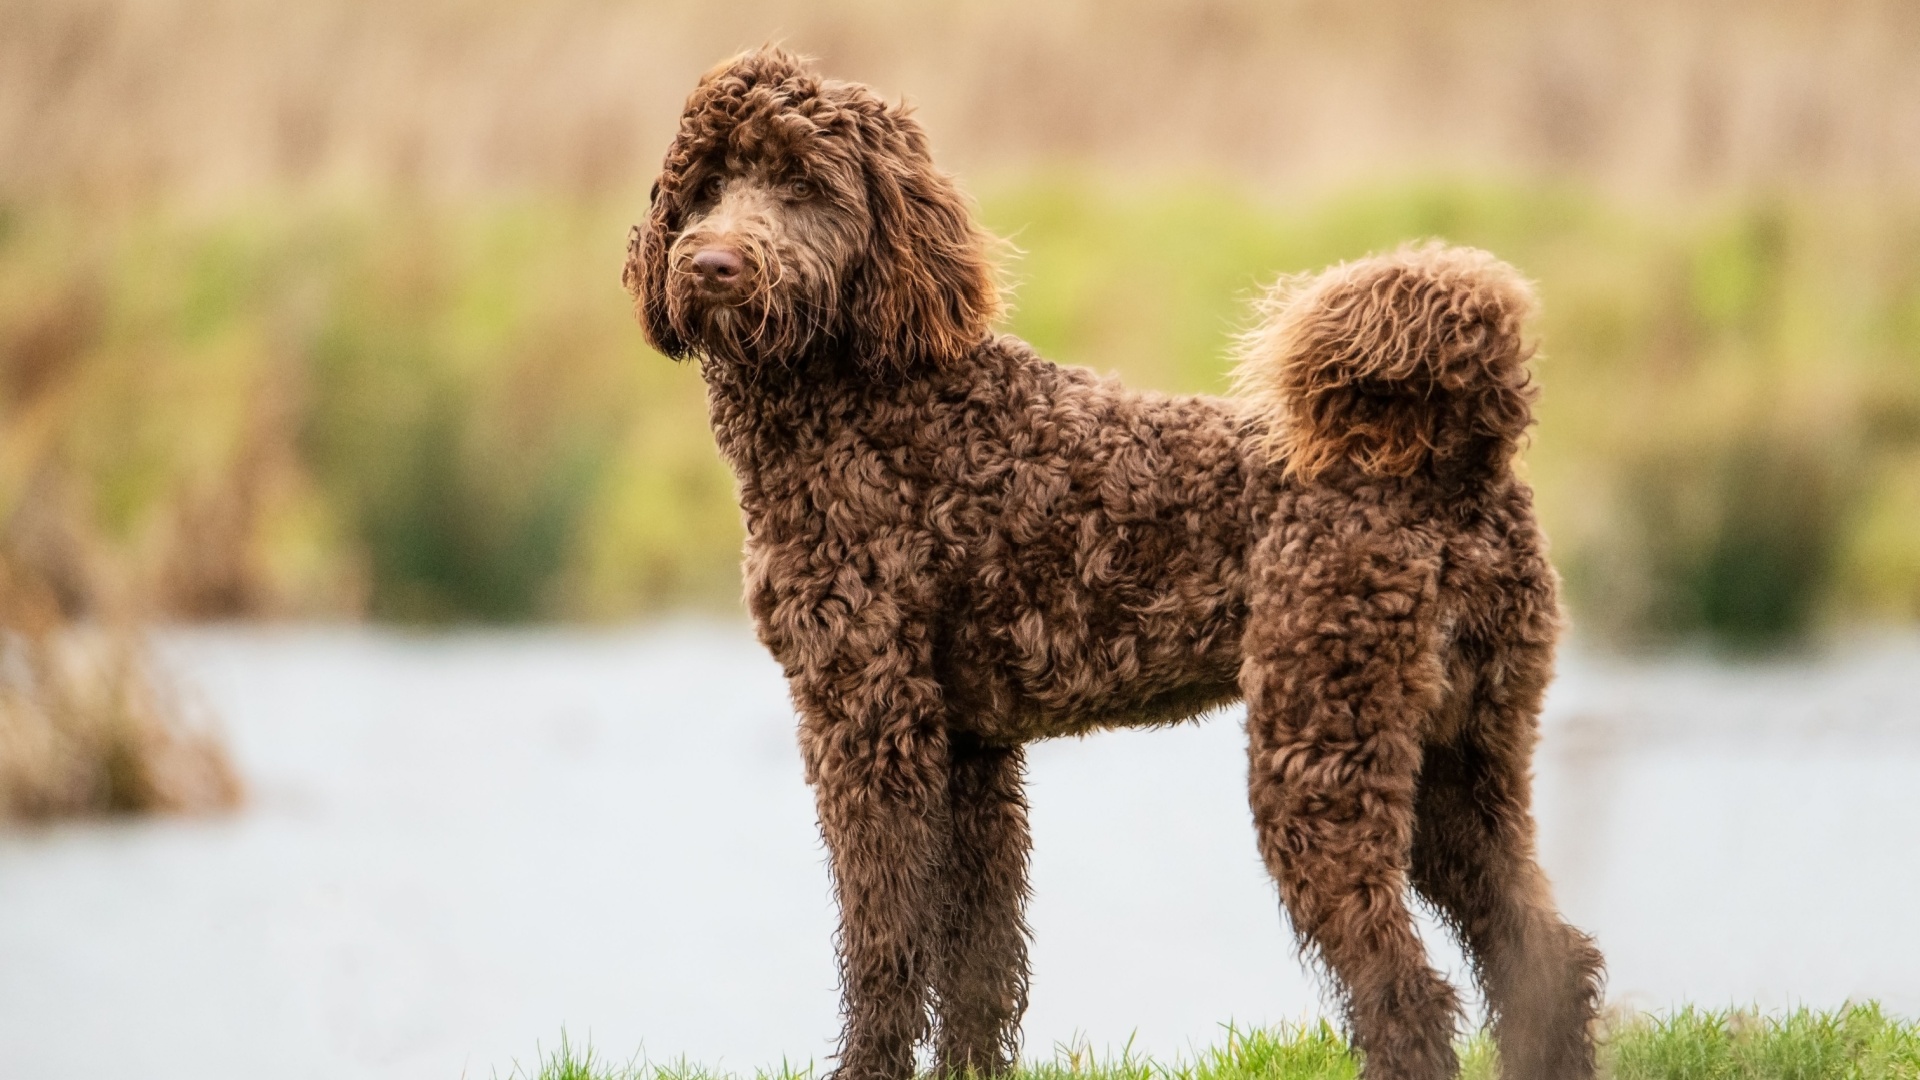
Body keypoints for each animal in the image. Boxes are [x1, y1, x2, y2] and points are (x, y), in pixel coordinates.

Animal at [625, 46, 1605, 1076]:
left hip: (1324, 753)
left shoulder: (869, 720)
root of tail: (1459, 459)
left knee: (1409, 991)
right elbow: (978, 959)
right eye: (705, 185)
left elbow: (884, 943)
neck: (868, 403)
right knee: (1546, 958)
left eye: (805, 183)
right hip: (1461, 759)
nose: (714, 263)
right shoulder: (969, 749)